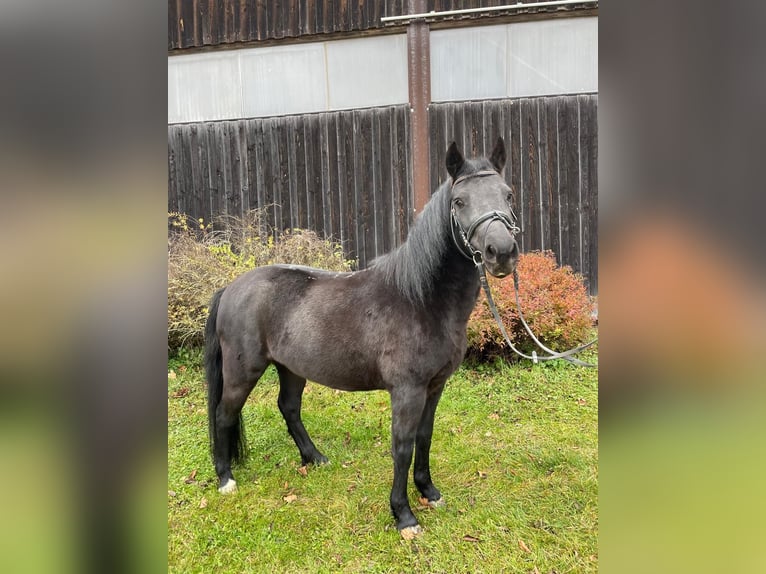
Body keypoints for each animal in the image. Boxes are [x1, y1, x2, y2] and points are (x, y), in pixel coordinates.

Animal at [205, 137, 519, 538]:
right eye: (459, 202)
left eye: (508, 195)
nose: (501, 252)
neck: (421, 299)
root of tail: (230, 288)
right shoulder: (407, 391)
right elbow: (402, 447)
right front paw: (403, 515)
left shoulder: (435, 387)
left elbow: (425, 437)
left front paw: (429, 492)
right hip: (242, 372)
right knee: (224, 414)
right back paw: (225, 479)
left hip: (291, 368)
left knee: (288, 408)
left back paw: (315, 458)